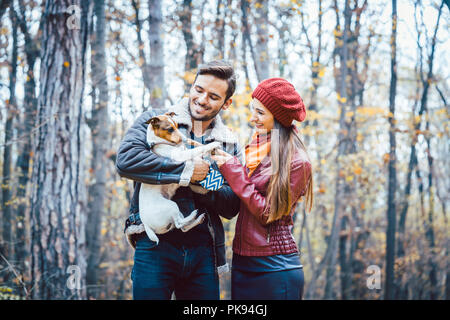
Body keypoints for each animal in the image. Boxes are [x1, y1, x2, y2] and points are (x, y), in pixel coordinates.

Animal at [139, 111, 220, 244]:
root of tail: (146, 225)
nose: (184, 139)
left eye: (177, 126)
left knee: (183, 227)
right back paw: (193, 215)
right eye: (170, 129)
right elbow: (199, 149)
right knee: (179, 224)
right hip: (171, 206)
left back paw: (197, 218)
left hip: (175, 211)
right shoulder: (182, 155)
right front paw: (213, 145)